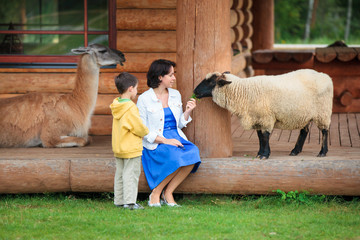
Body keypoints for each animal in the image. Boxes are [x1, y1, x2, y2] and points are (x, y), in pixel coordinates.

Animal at [194, 69, 334, 159]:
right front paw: (260, 153)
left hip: (323, 112)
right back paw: (295, 151)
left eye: (211, 82)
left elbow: (265, 136)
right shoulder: (257, 119)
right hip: (304, 114)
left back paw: (323, 152)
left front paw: (265, 155)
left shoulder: (266, 117)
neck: (243, 91)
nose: (195, 91)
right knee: (304, 131)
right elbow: (260, 137)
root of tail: (324, 76)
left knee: (325, 131)